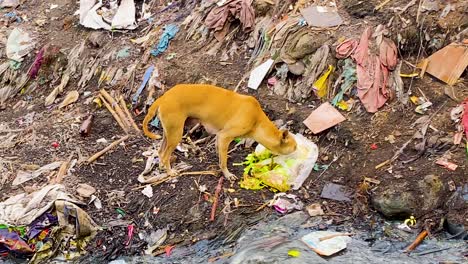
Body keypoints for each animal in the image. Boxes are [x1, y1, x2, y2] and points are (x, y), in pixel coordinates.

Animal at [142, 83, 296, 180]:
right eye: (294, 147)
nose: (297, 152)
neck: (257, 120)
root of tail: (163, 97)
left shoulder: (219, 136)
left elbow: (220, 153)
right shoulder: (225, 136)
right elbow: (224, 162)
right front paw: (227, 175)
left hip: (168, 133)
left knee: (160, 152)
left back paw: (162, 168)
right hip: (175, 135)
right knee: (165, 155)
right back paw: (170, 172)